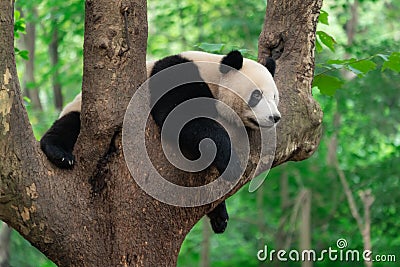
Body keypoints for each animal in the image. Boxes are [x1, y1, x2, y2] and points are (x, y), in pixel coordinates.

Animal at [39, 50, 280, 234]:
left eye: (275, 97)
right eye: (256, 95)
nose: (275, 117)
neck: (214, 76)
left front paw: (220, 215)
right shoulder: (177, 74)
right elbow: (186, 119)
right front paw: (231, 164)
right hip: (82, 112)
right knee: (69, 126)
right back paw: (59, 153)